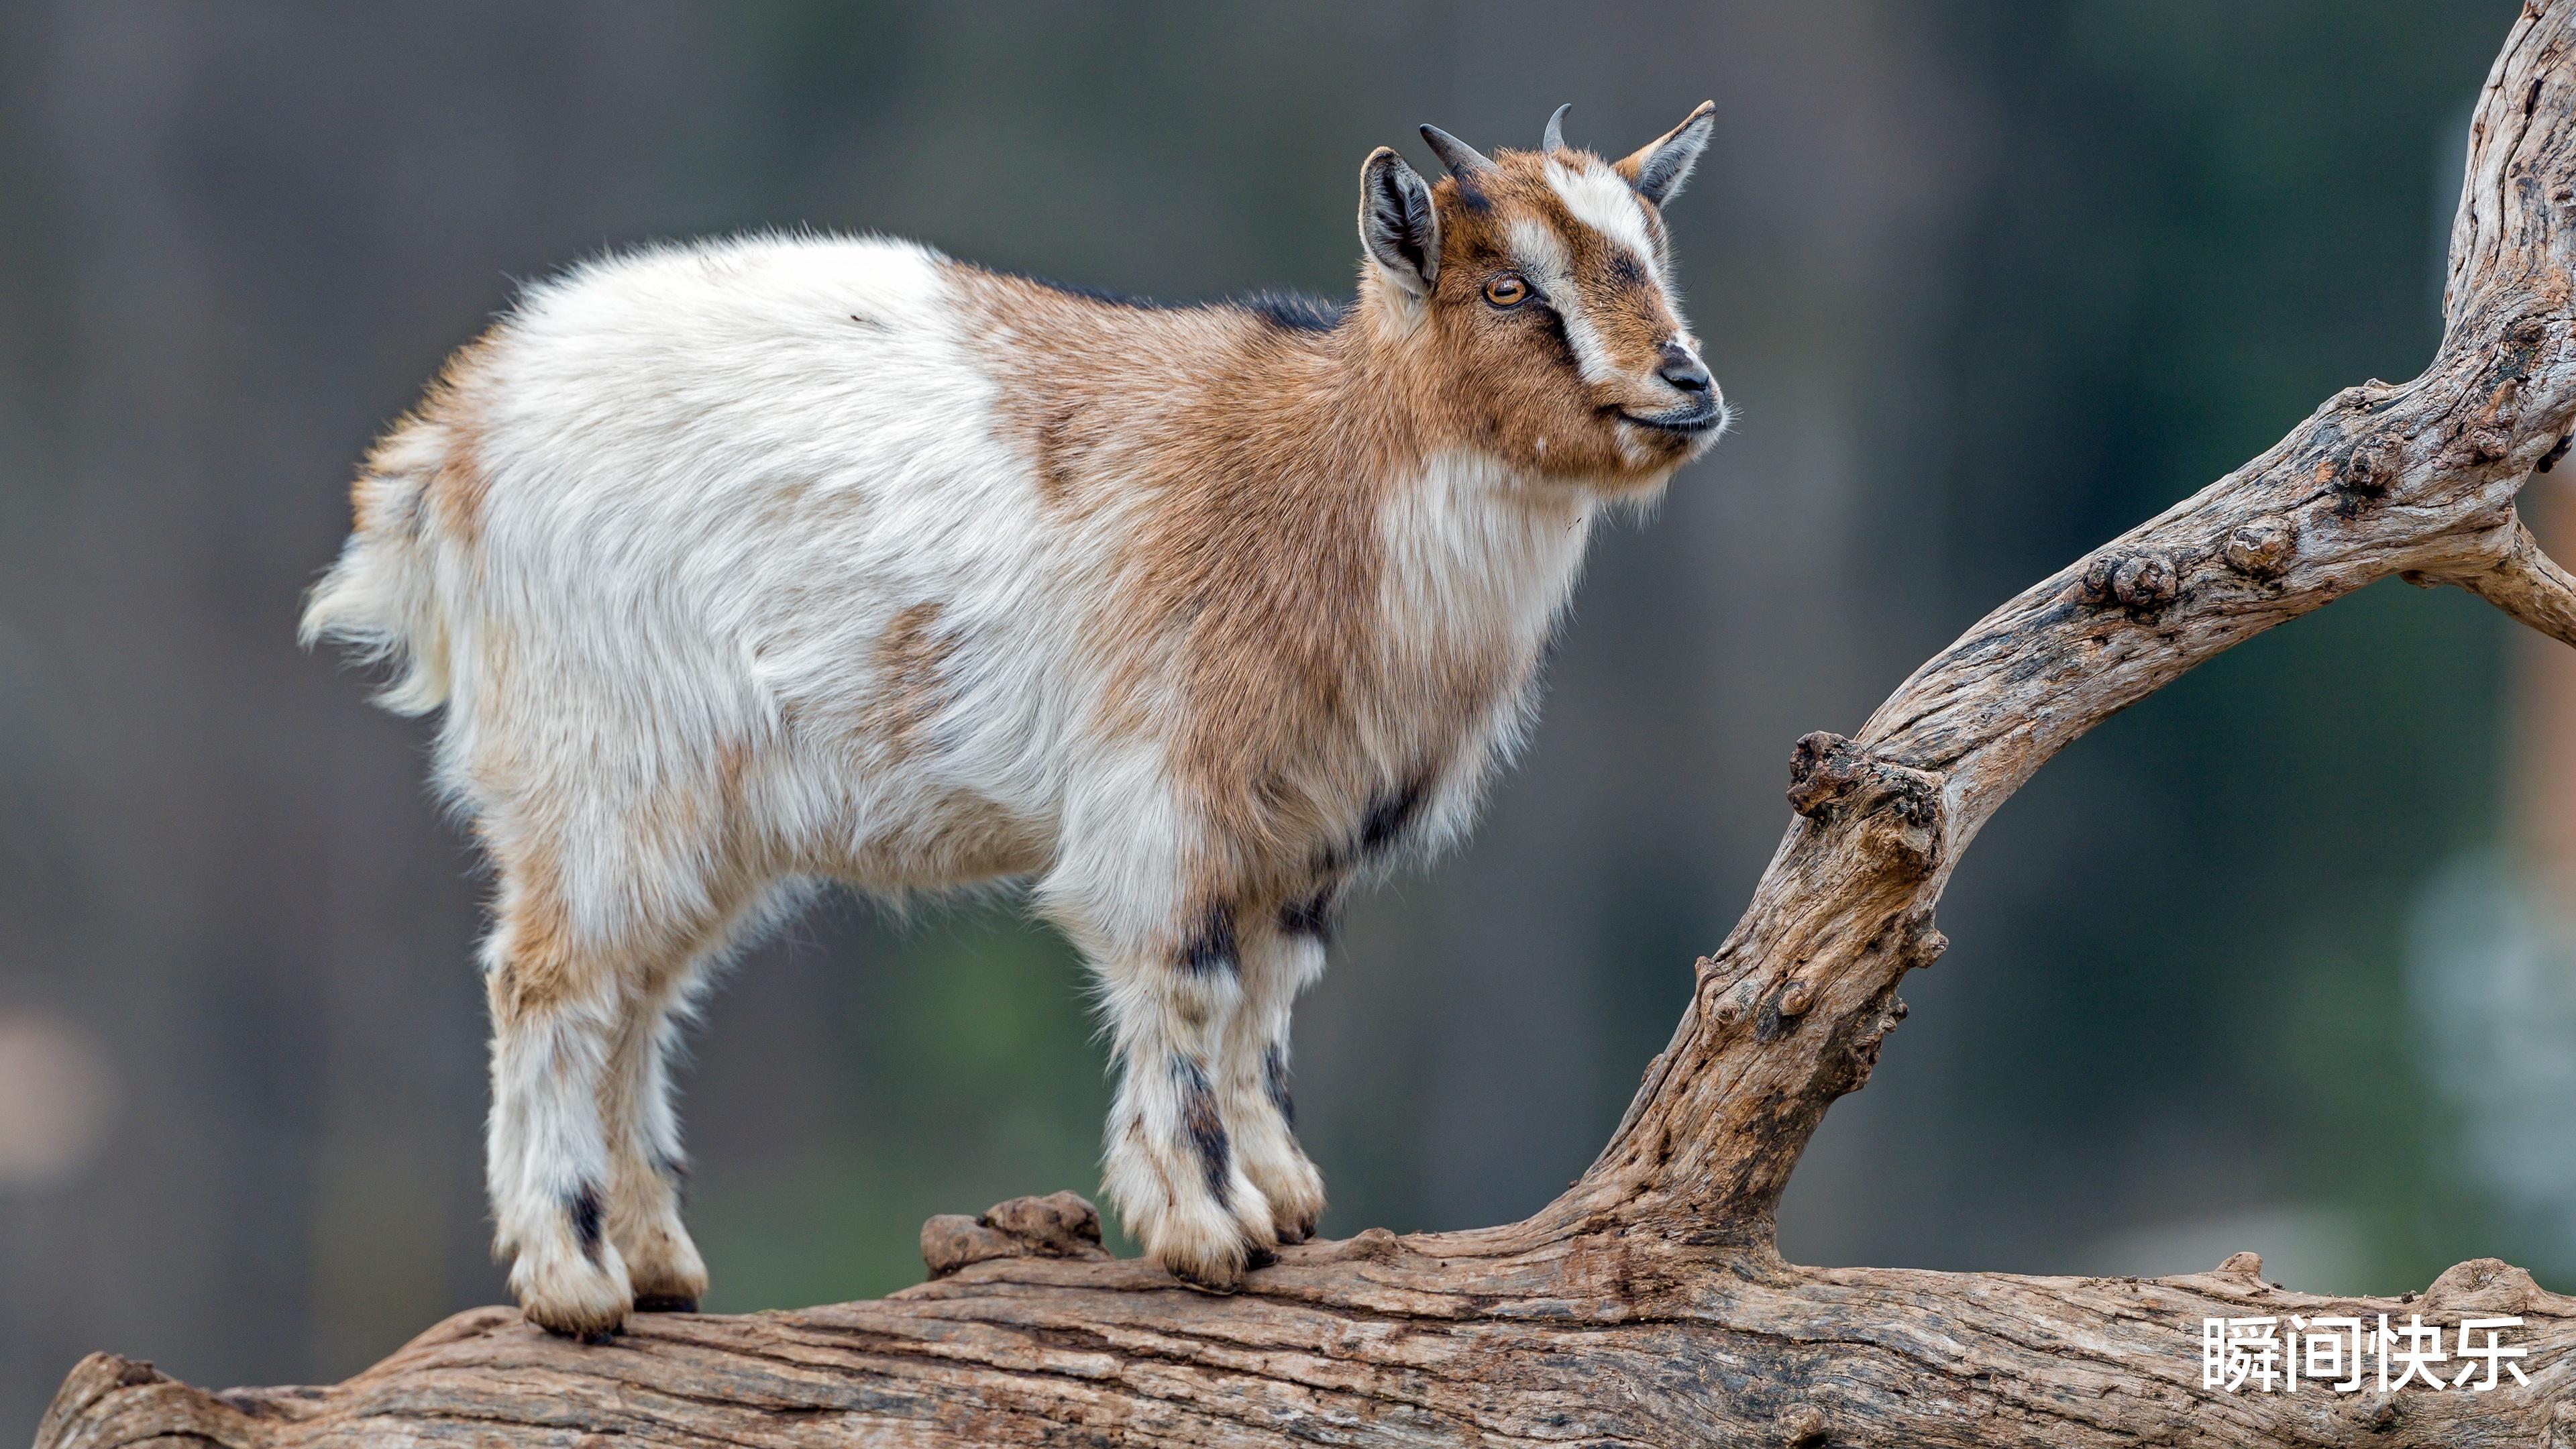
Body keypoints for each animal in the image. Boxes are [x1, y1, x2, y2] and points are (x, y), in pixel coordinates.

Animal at [301, 107, 1731, 1340]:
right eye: (1509, 290)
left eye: (1656, 257)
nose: (1687, 384)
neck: (1329, 471)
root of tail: (450, 445)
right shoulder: (1167, 792)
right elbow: (1186, 987)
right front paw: (1204, 1228)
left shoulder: (1298, 827)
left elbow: (1266, 1004)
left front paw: (1284, 1205)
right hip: (601, 768)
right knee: (546, 984)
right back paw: (572, 1282)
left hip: (698, 813)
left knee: (637, 997)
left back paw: (654, 1262)